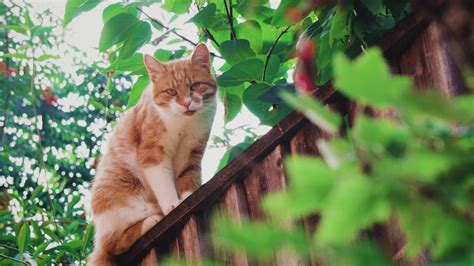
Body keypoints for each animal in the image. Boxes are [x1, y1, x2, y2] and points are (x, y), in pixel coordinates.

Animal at [87, 44, 217, 264]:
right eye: (171, 91)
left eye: (194, 86)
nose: (186, 103)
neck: (183, 123)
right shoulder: (152, 153)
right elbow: (163, 183)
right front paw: (172, 205)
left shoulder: (193, 152)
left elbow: (188, 179)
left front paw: (188, 197)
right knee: (114, 244)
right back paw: (153, 219)